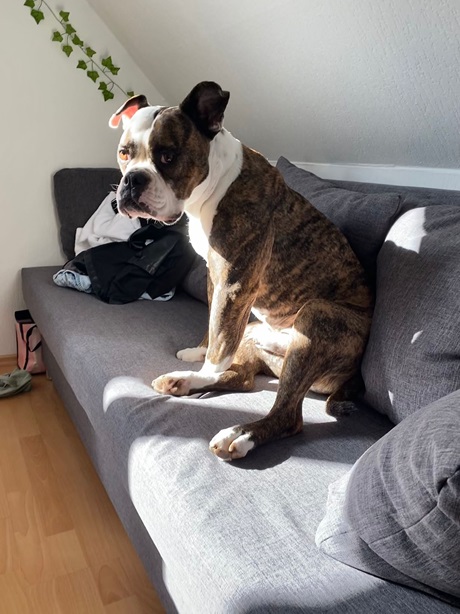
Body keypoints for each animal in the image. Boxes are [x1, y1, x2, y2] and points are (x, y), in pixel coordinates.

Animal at [109, 81, 373, 461]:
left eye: (168, 156)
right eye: (124, 154)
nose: (132, 180)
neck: (212, 187)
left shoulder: (235, 285)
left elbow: (220, 347)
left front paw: (204, 366)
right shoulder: (215, 280)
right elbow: (214, 329)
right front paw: (198, 352)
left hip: (316, 319)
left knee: (287, 415)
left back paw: (240, 431)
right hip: (253, 332)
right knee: (244, 377)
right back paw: (184, 381)